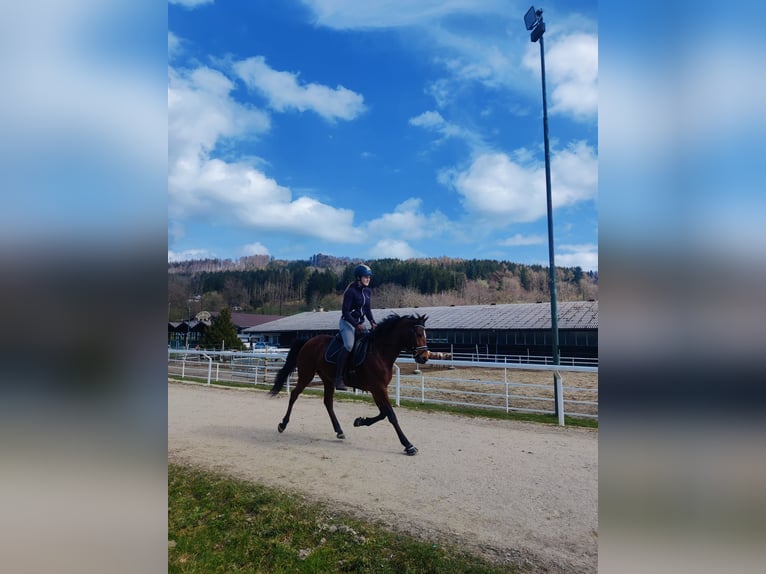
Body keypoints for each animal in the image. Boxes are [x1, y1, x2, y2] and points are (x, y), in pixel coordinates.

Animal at [268, 312, 428, 456]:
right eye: (418, 334)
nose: (424, 357)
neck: (379, 352)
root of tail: (309, 341)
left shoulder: (378, 389)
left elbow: (383, 413)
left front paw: (359, 421)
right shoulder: (378, 388)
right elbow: (391, 415)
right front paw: (408, 445)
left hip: (327, 379)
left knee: (328, 402)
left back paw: (339, 431)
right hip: (306, 375)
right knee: (294, 394)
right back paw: (283, 424)